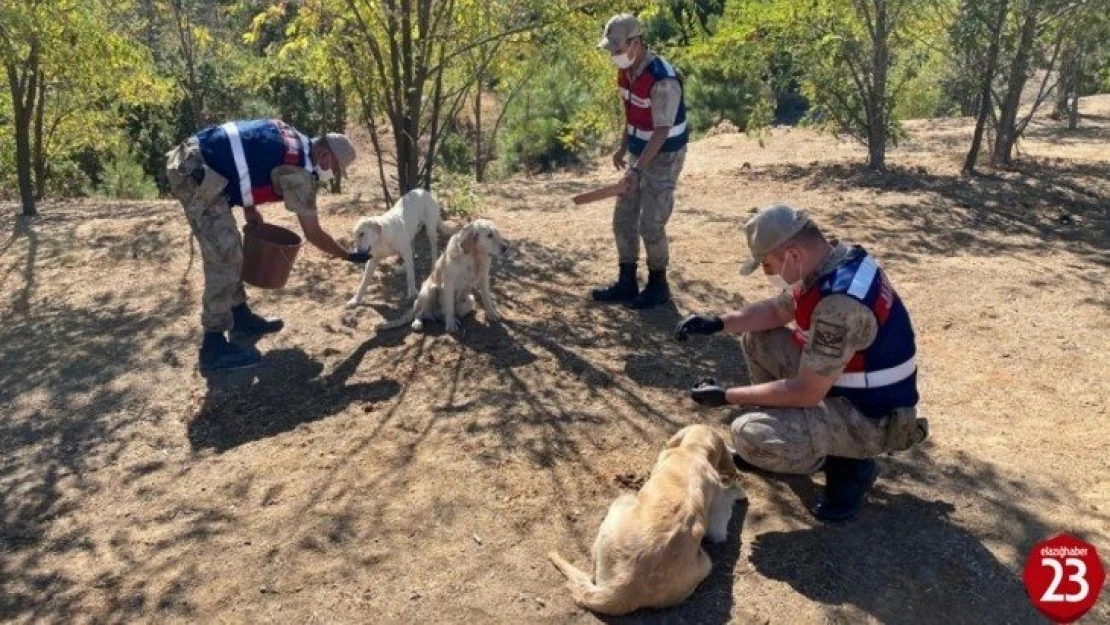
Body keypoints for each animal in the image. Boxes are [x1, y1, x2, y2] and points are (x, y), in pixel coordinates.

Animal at [377, 220, 508, 335]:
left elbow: (487, 299)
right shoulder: (449, 283)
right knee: (420, 312)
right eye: (489, 235)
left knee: (444, 313)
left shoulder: (484, 278)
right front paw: (450, 325)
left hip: (470, 300)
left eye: (498, 233)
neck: (473, 256)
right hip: (430, 290)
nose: (505, 248)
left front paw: (492, 314)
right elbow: (449, 306)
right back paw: (419, 322)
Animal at [546, 426, 745, 617]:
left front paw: (738, 490)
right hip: (705, 563)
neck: (692, 451)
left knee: (593, 570)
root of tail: (622, 589)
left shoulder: (718, 521)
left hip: (622, 501)